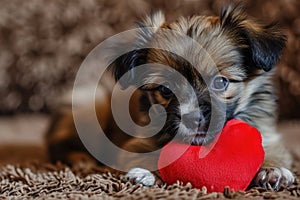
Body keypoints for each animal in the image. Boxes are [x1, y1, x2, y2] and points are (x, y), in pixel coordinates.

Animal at [47, 3, 296, 190]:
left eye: (220, 82)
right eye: (166, 90)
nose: (192, 118)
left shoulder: (266, 134)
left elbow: (271, 151)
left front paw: (273, 171)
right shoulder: (136, 143)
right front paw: (146, 173)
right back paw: (81, 159)